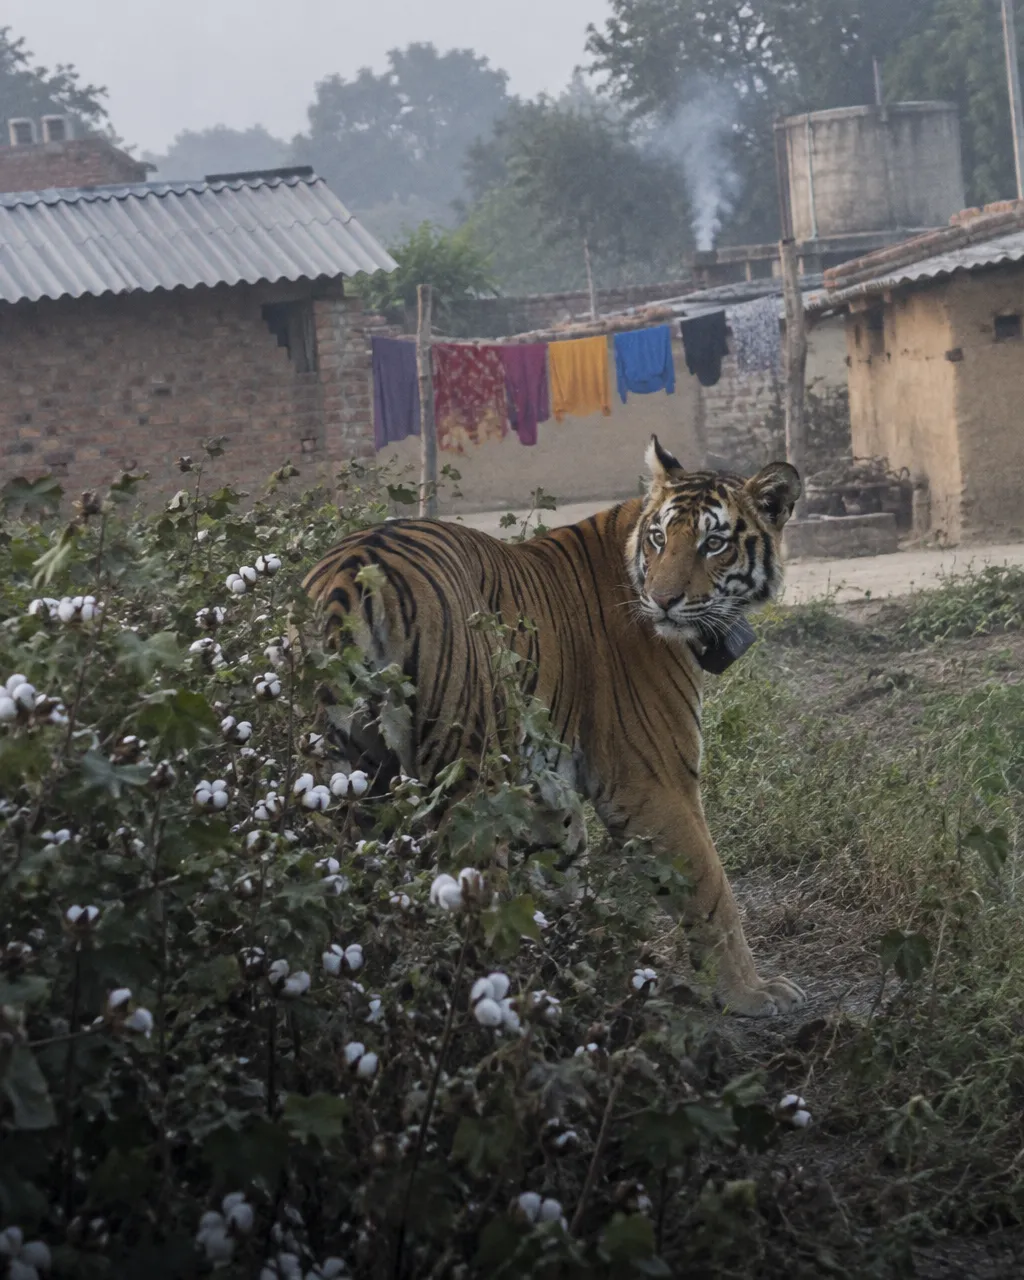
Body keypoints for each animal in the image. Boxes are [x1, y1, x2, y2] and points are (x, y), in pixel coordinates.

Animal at [303, 436, 806, 1017]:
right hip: (468, 778)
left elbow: (565, 863)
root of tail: (353, 567)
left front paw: (581, 956)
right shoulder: (654, 781)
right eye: (660, 538)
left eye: (715, 544)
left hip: (345, 777)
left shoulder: (547, 785)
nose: (662, 601)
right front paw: (749, 992)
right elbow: (710, 889)